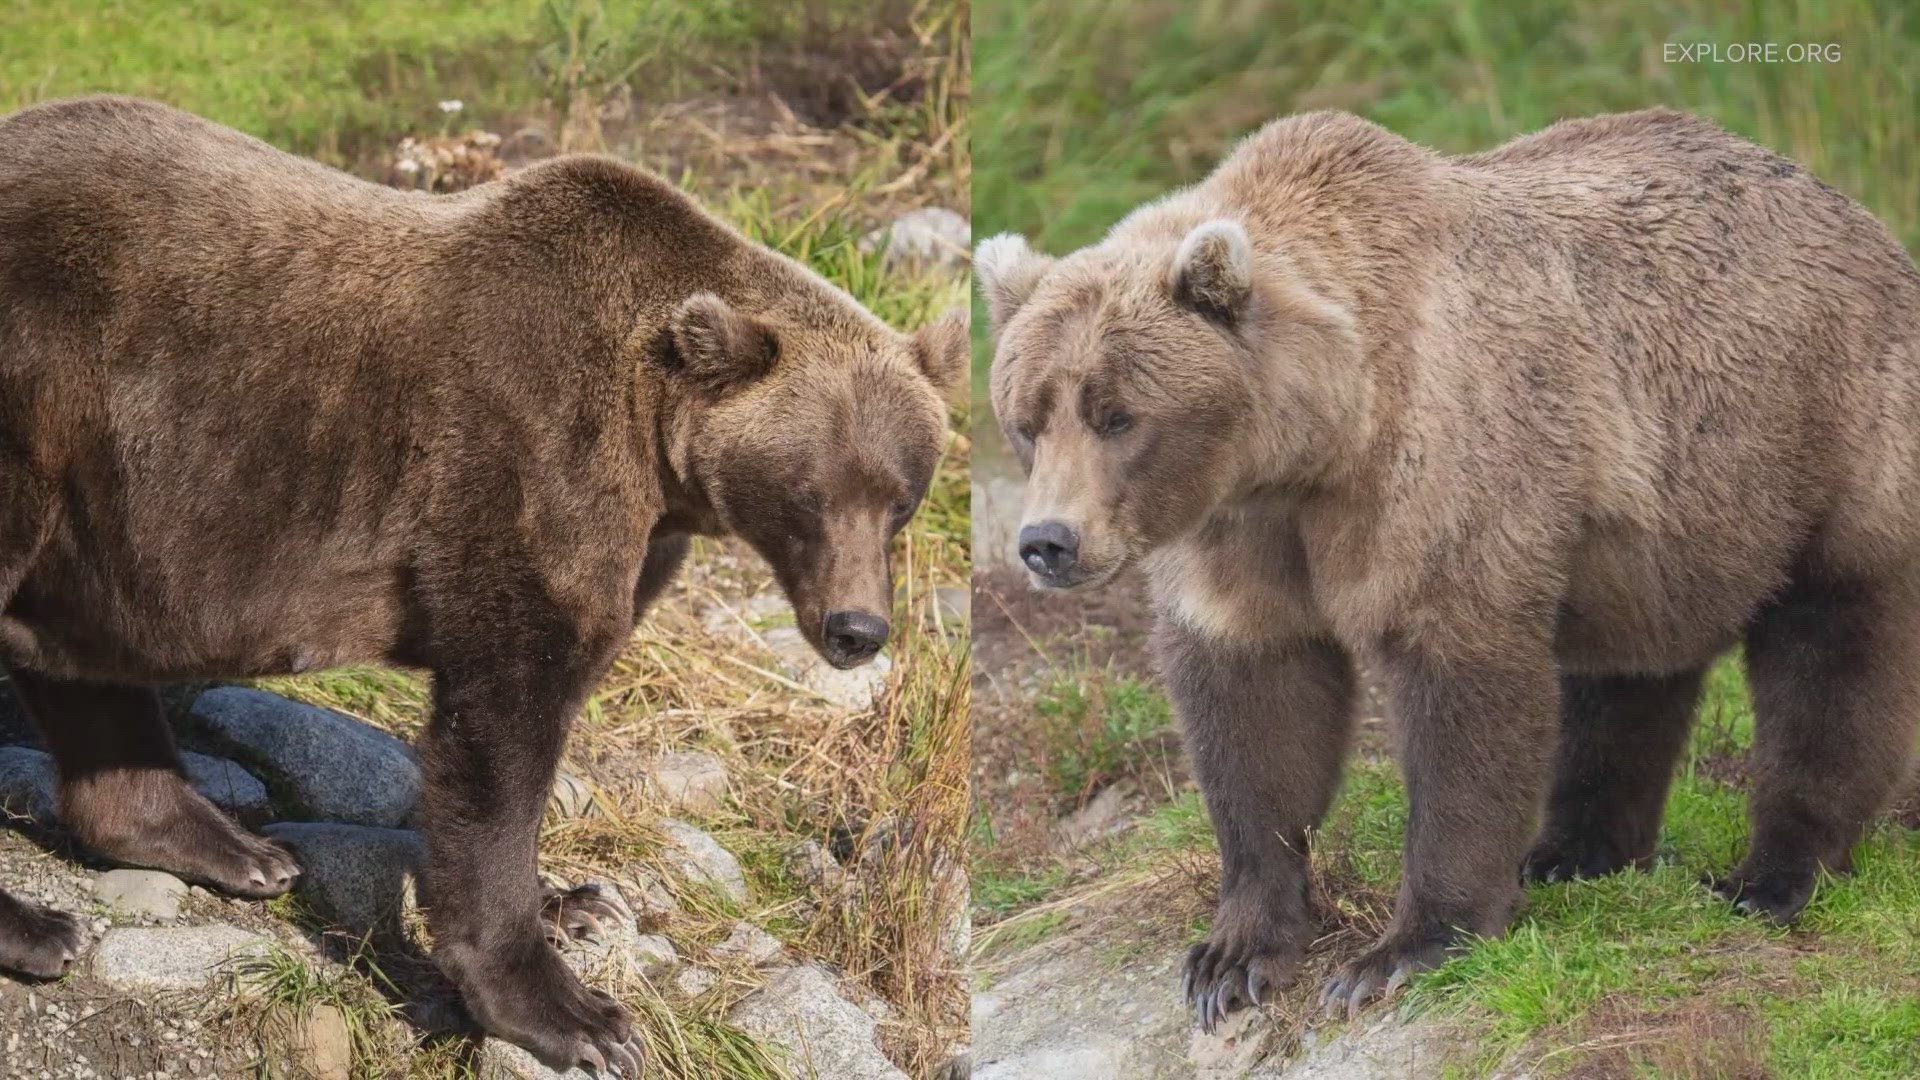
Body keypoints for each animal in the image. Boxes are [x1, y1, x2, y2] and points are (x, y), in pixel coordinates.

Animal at [0, 94, 960, 1068]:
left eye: (901, 498)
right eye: (809, 494)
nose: (857, 630)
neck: (660, 447)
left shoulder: (640, 536)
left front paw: (578, 902)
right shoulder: (525, 462)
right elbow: (503, 732)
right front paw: (575, 1013)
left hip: (92, 519)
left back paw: (232, 847)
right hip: (41, 391)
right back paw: (41, 930)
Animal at [983, 109, 1920, 1022]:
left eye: (1117, 415)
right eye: (1027, 418)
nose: (1048, 541)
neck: (1310, 445)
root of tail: (1861, 218)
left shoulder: (1437, 461)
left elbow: (1461, 697)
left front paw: (1400, 951)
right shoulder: (1240, 534)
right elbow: (1256, 709)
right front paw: (1234, 957)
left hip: (1827, 435)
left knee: (1834, 652)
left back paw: (1776, 876)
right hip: (1661, 524)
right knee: (1628, 668)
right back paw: (1573, 851)